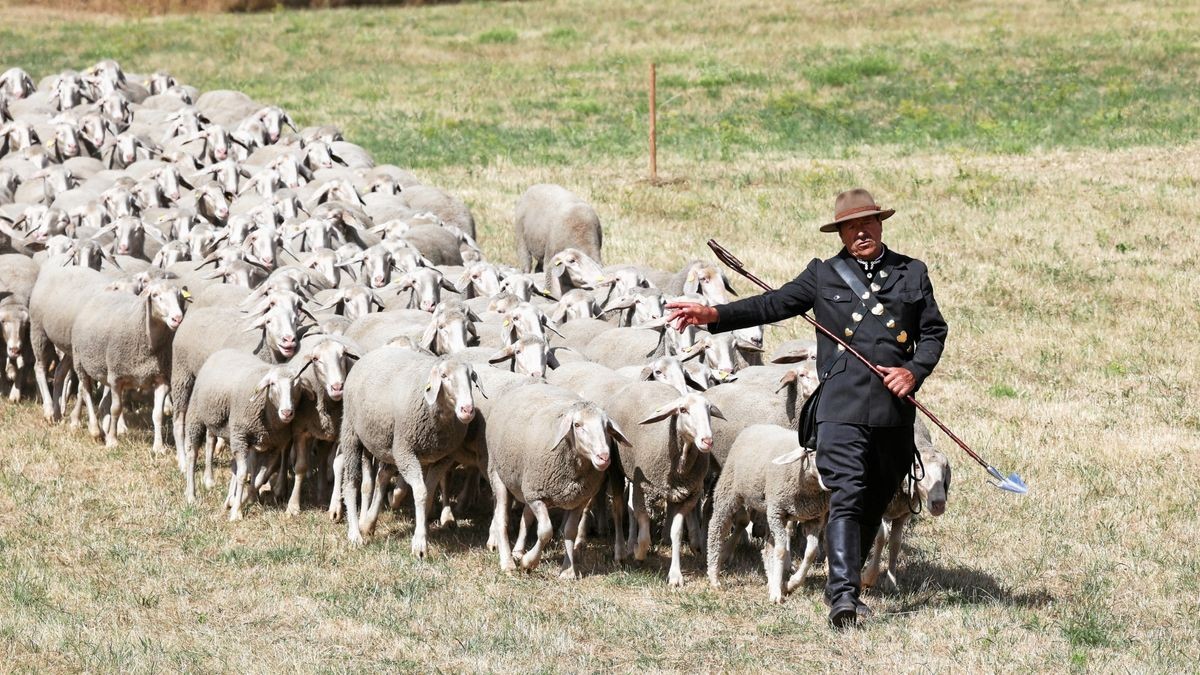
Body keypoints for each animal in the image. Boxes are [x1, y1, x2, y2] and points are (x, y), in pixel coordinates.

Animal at [71, 276, 184, 449]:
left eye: (178, 295)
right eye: (155, 295)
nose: (177, 318)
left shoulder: (162, 378)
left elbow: (157, 414)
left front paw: (158, 447)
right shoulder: (117, 377)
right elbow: (116, 409)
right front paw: (112, 441)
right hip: (80, 363)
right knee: (86, 392)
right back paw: (95, 431)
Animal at [181, 345, 298, 514]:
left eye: (296, 385)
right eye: (273, 384)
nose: (287, 412)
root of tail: (224, 350)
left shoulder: (272, 446)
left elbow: (259, 477)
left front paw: (244, 499)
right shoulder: (241, 436)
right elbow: (243, 474)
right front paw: (236, 511)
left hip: (232, 432)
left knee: (234, 464)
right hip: (196, 414)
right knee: (192, 452)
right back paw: (191, 495)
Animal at [338, 345, 477, 552]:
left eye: (471, 376)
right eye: (444, 376)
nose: (467, 410)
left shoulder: (441, 459)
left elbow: (428, 493)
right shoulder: (406, 452)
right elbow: (420, 492)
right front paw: (419, 543)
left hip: (383, 440)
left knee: (380, 478)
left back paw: (368, 523)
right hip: (351, 432)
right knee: (351, 483)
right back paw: (355, 534)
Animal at [482, 381, 628, 576]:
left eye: (606, 426)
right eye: (577, 425)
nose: (604, 457)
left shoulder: (579, 499)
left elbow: (570, 531)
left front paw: (568, 571)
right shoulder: (536, 495)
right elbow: (545, 531)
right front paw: (529, 562)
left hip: (526, 483)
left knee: (525, 517)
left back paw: (518, 551)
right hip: (498, 474)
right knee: (501, 518)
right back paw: (508, 563)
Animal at [705, 422, 830, 600]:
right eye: (812, 455)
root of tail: (756, 425)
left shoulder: (814, 518)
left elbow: (811, 552)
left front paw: (790, 584)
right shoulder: (777, 512)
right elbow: (780, 550)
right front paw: (778, 592)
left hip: (768, 507)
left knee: (768, 546)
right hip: (729, 488)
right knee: (717, 526)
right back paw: (714, 574)